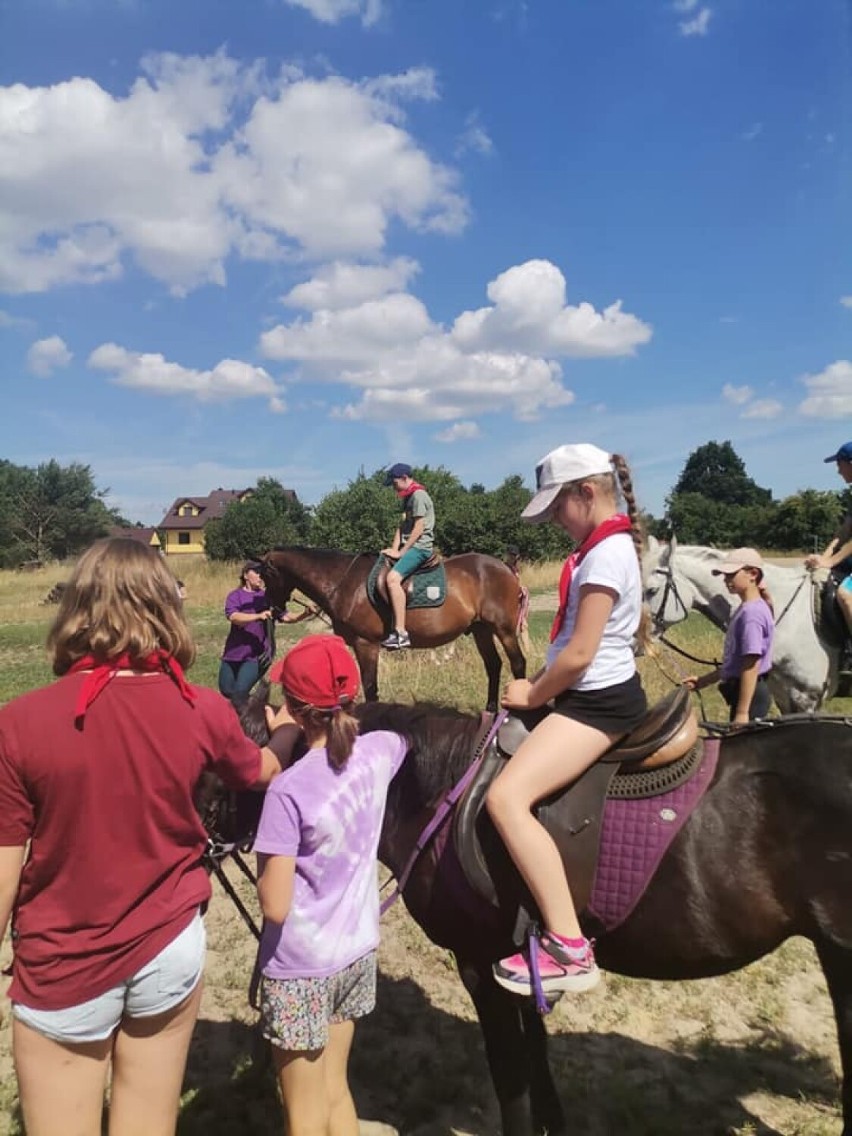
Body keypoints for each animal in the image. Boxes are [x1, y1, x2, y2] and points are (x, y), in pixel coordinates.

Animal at [203, 690, 852, 1136]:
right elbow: (537, 1064)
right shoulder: (515, 964)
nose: (200, 854)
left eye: (216, 773)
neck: (438, 790)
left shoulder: (478, 964)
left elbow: (511, 1078)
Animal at [260, 547, 527, 708]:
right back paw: (490, 710)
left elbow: (370, 687)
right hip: (482, 629)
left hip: (504, 630)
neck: (346, 582)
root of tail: (505, 568)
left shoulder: (366, 644)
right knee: (493, 665)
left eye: (266, 577)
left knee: (517, 664)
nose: (274, 611)